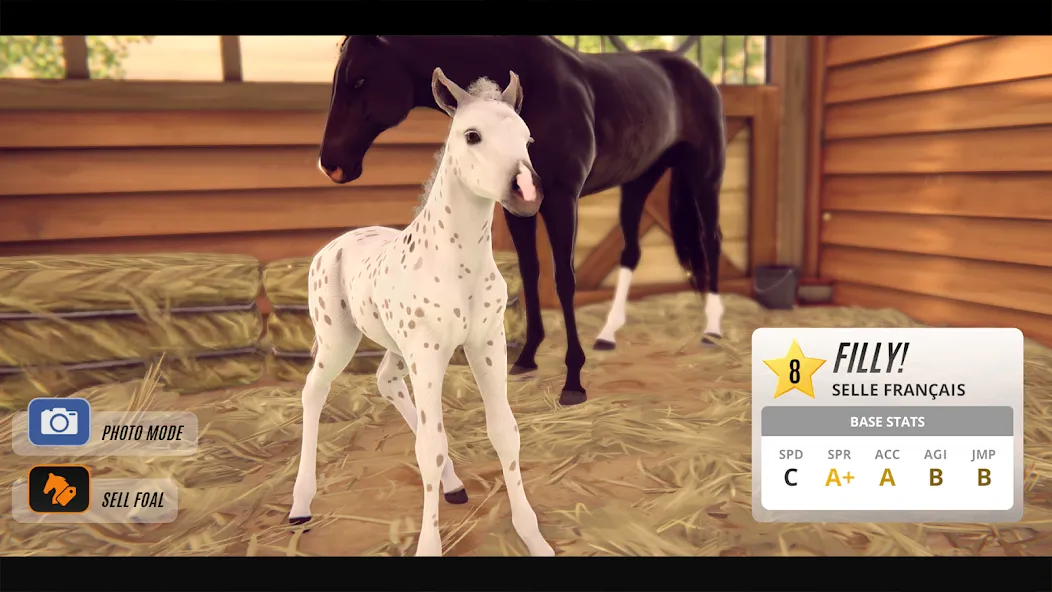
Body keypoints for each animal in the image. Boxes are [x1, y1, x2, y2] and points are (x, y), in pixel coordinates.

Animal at [290, 68, 555, 557]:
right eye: (471, 135)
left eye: (527, 138)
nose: (527, 192)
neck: (456, 264)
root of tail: (333, 245)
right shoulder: (429, 352)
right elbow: (430, 448)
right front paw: (429, 544)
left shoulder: (486, 343)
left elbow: (505, 433)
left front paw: (533, 537)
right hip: (339, 340)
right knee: (313, 392)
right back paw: (300, 504)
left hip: (398, 347)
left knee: (385, 381)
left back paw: (453, 484)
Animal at [318, 35, 727, 407]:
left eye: (359, 80)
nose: (330, 165)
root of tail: (697, 75)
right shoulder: (516, 208)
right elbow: (531, 272)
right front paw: (527, 359)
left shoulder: (562, 200)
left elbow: (564, 280)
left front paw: (573, 382)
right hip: (639, 180)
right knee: (631, 251)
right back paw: (608, 335)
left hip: (705, 174)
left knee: (711, 240)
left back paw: (712, 330)